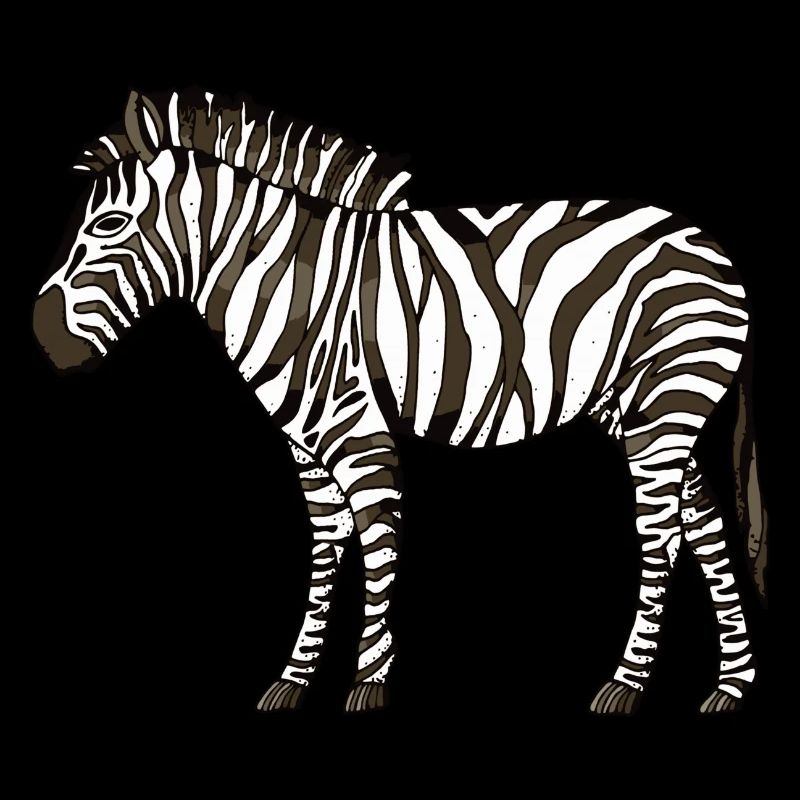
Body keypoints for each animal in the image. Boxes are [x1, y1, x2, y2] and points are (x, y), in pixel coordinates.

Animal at [33, 88, 767, 715]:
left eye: (110, 224)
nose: (41, 335)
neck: (282, 282)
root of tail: (711, 243)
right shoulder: (306, 446)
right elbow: (325, 549)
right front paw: (294, 679)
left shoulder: (360, 436)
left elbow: (380, 544)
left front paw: (368, 683)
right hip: (646, 407)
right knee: (703, 524)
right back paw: (731, 684)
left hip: (668, 396)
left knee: (662, 534)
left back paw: (627, 685)